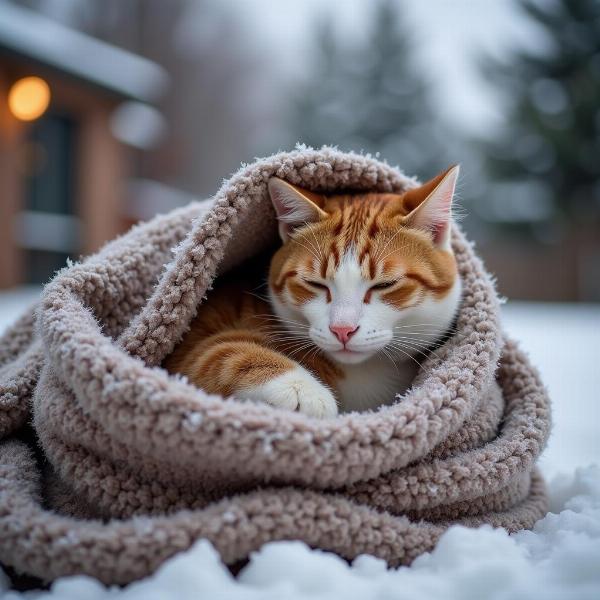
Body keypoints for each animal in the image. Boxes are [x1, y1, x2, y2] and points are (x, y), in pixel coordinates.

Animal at [162, 164, 462, 418]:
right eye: (315, 283)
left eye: (384, 285)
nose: (342, 330)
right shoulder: (192, 341)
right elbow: (219, 352)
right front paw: (303, 390)